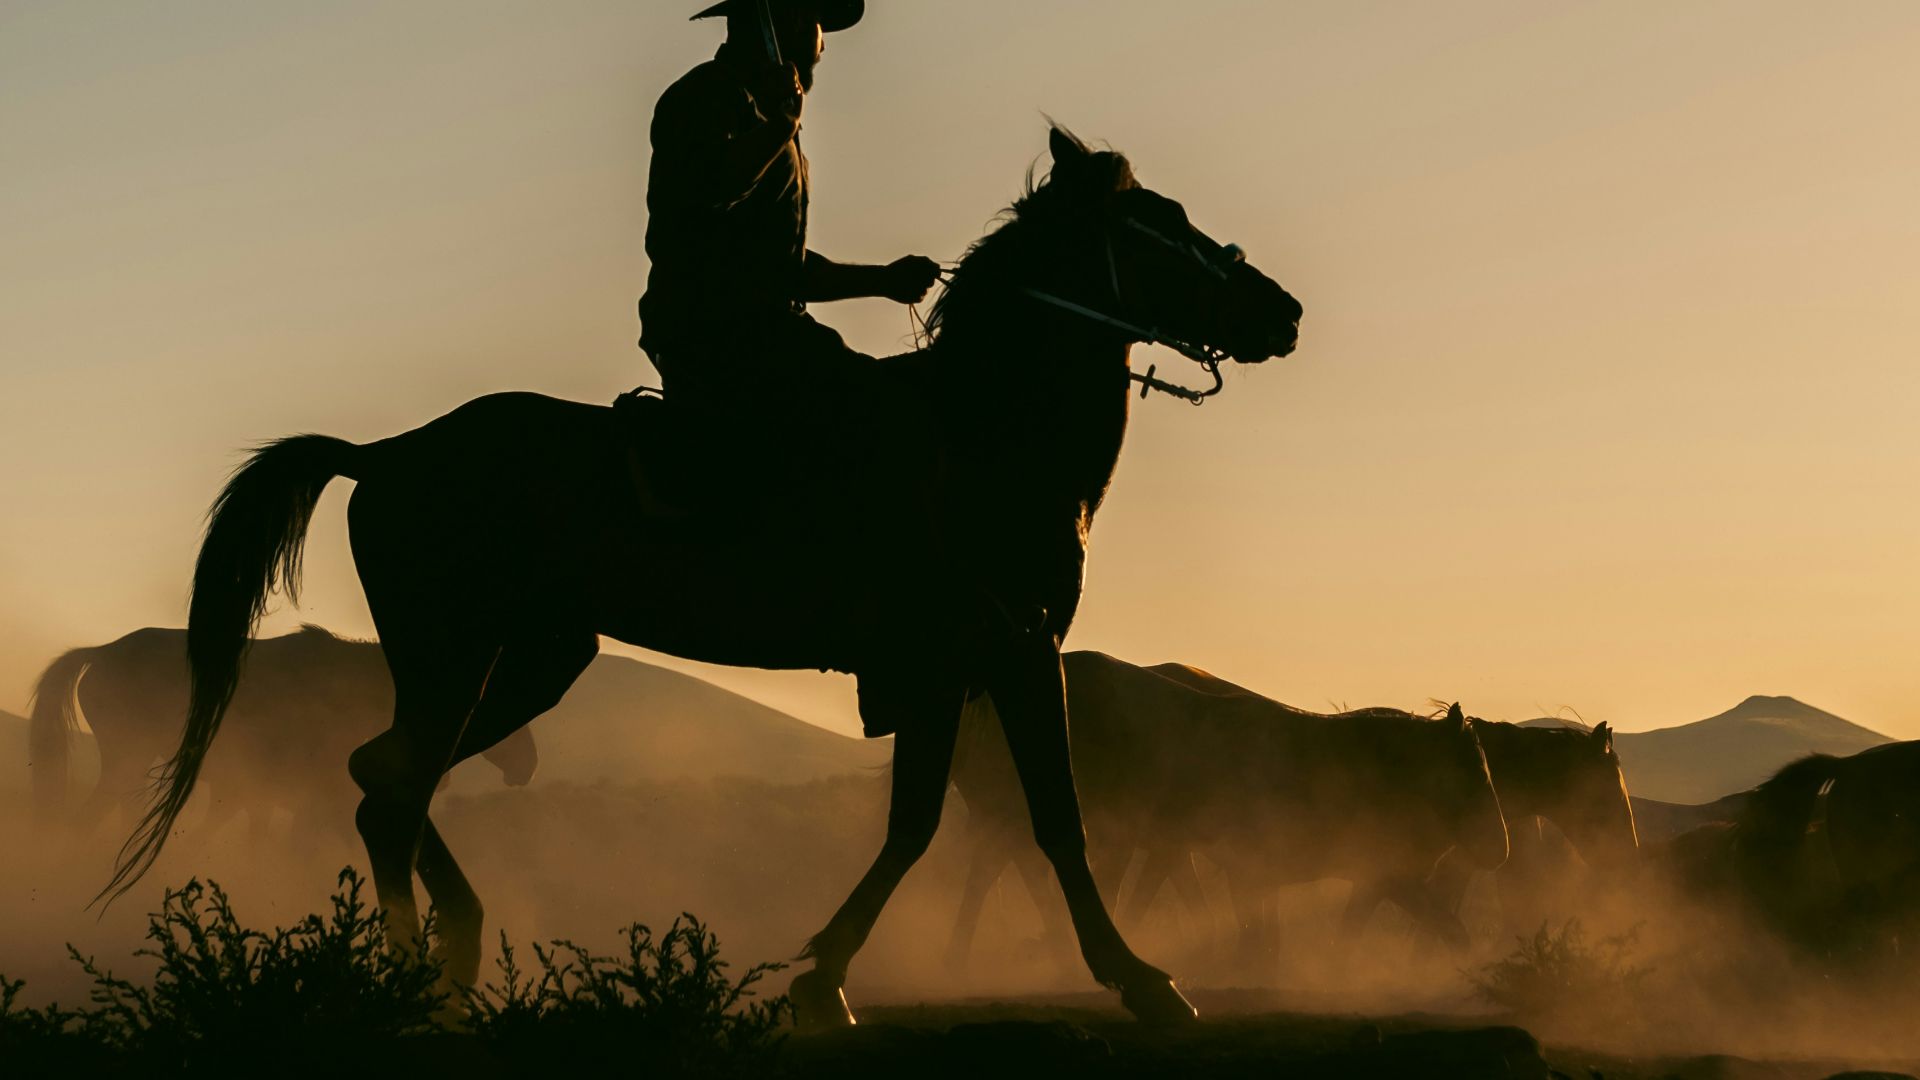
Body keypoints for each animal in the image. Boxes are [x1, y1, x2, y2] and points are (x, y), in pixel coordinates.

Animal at [102, 125, 1304, 1028]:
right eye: (1168, 227)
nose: (1283, 311)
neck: (982, 436)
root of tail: (385, 453)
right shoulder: (1005, 651)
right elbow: (1048, 823)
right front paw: (1145, 982)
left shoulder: (952, 668)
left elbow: (920, 826)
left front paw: (824, 978)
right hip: (459, 656)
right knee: (395, 784)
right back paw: (420, 974)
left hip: (536, 657)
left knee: (382, 775)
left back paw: (446, 950)